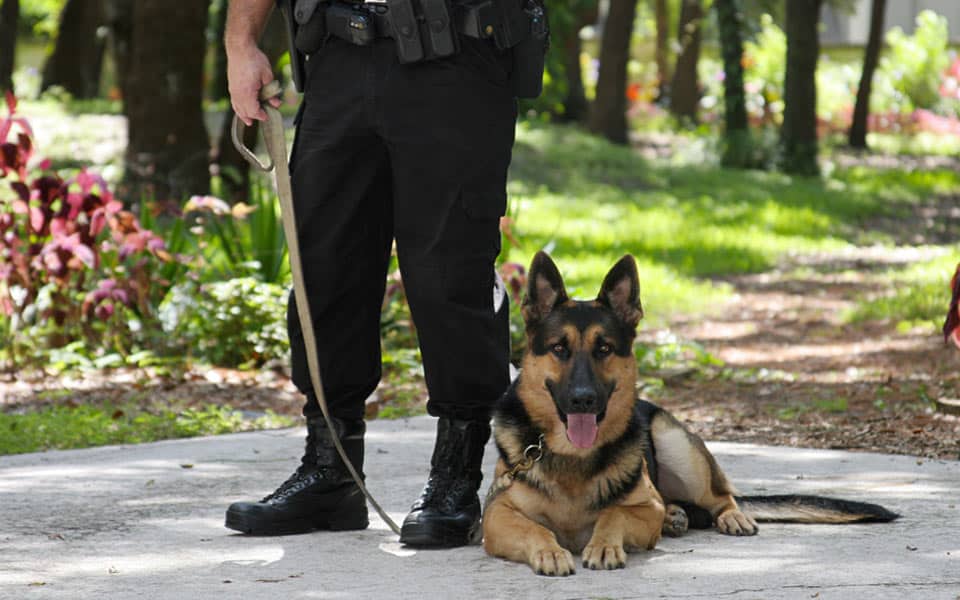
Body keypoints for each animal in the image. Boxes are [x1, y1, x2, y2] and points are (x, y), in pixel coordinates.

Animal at [484, 253, 896, 576]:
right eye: (559, 348)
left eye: (604, 348)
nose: (583, 400)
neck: (572, 457)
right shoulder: (496, 515)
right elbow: (536, 529)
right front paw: (550, 551)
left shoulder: (644, 507)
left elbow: (612, 514)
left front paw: (603, 545)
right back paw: (676, 516)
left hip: (676, 444)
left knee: (720, 495)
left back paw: (728, 515)